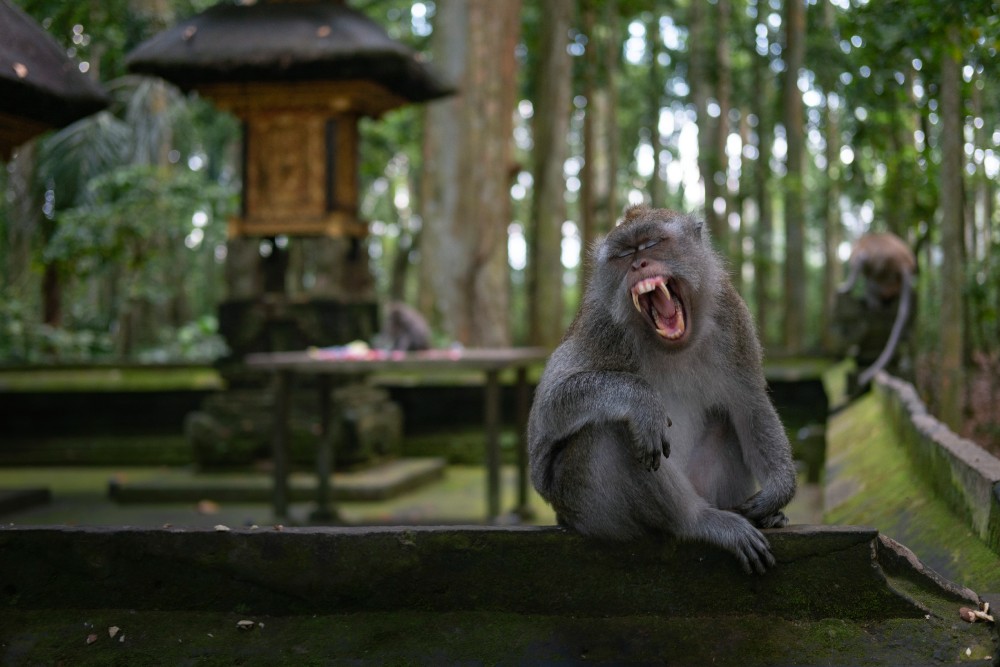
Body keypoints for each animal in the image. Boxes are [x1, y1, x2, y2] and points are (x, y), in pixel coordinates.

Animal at [524, 205, 796, 576]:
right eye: (623, 254)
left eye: (651, 243)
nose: (638, 264)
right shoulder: (600, 327)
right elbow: (548, 409)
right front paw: (641, 400)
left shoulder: (733, 319)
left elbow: (749, 405)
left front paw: (778, 492)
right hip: (589, 509)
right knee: (614, 428)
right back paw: (699, 521)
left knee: (725, 419)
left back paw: (762, 516)